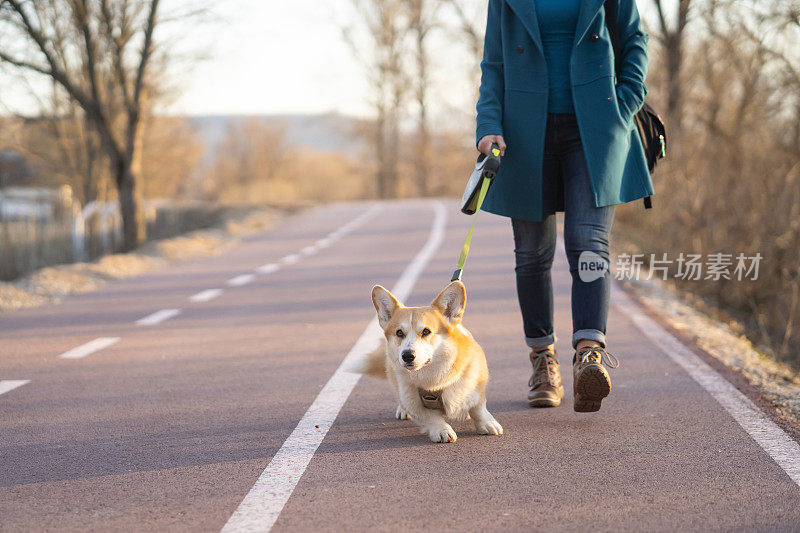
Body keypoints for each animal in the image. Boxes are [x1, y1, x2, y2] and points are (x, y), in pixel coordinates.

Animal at [348, 280, 500, 442]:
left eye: (426, 331)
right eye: (399, 333)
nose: (407, 355)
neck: (433, 378)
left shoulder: (477, 385)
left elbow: (478, 408)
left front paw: (488, 423)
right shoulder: (414, 403)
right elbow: (430, 418)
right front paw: (442, 430)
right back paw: (402, 410)